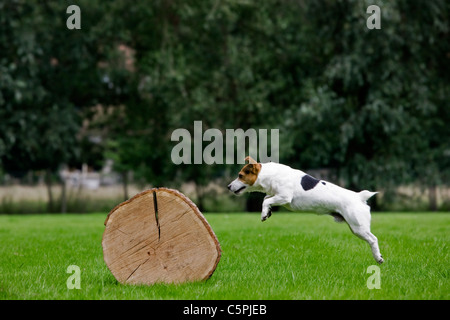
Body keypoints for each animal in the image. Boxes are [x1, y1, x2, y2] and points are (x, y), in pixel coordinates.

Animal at [229, 156, 384, 264]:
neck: (270, 175)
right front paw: (268, 211)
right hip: (354, 227)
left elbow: (266, 200)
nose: (228, 186)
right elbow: (266, 198)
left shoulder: (285, 197)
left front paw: (264, 214)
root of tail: (359, 197)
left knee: (373, 239)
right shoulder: (276, 195)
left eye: (240, 175)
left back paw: (378, 258)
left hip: (358, 227)